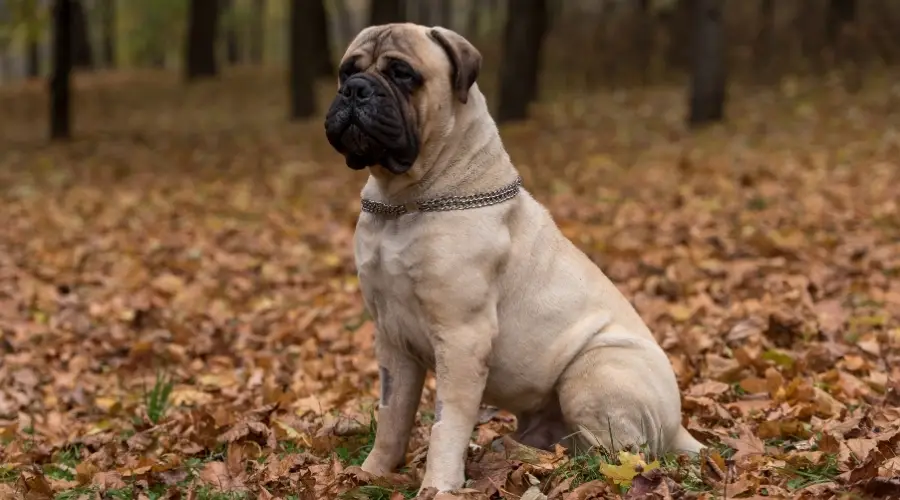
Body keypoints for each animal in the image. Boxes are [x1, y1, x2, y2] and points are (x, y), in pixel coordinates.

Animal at [322, 22, 704, 492]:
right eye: (346, 71)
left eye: (402, 74)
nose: (355, 89)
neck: (403, 203)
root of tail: (679, 426)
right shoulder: (392, 340)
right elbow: (392, 415)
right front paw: (373, 472)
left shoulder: (462, 337)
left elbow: (446, 423)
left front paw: (438, 486)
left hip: (592, 370)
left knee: (611, 455)